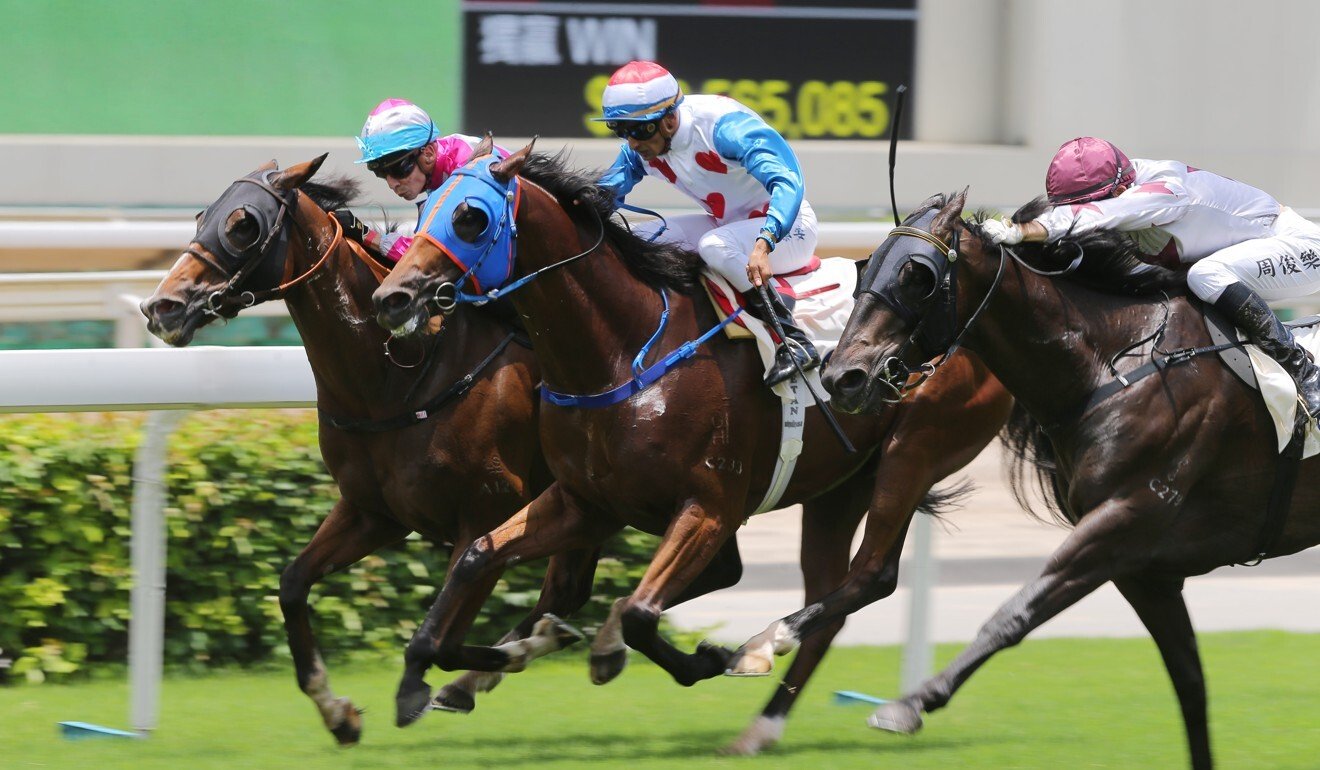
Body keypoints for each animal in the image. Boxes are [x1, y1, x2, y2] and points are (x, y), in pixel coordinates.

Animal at [137, 156, 604, 744]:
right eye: (202, 216)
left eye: (243, 225)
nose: (162, 307)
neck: (398, 375)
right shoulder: (374, 512)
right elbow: (292, 584)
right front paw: (337, 712)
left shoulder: (487, 510)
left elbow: (448, 615)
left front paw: (415, 687)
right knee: (565, 591)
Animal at [372, 140, 1008, 755]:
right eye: (422, 211)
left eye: (470, 217)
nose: (392, 297)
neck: (623, 353)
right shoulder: (586, 501)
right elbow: (478, 556)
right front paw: (443, 668)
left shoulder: (709, 508)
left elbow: (640, 613)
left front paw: (706, 657)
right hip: (839, 487)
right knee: (827, 599)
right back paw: (759, 723)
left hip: (910, 454)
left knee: (871, 575)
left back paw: (759, 660)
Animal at [823, 188, 1320, 770]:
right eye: (867, 267)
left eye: (916, 275)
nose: (842, 377)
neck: (1115, 366)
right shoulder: (1143, 569)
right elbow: (1190, 684)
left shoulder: (1120, 523)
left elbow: (1013, 614)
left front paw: (907, 705)